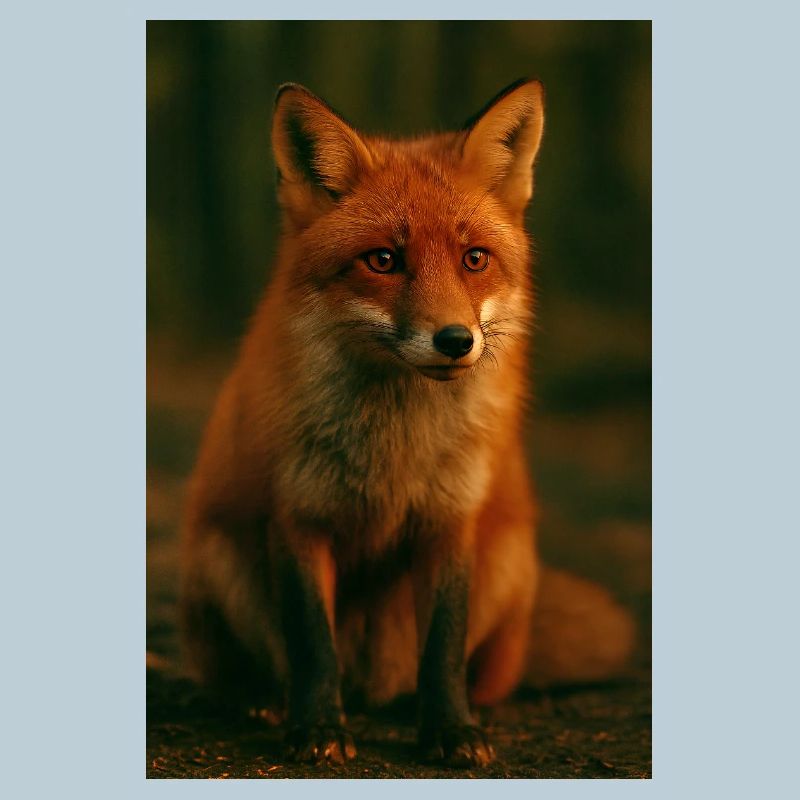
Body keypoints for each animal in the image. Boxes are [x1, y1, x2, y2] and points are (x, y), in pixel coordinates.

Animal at [179, 78, 635, 767]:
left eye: (474, 258)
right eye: (383, 260)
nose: (456, 340)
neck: (396, 447)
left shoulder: (450, 520)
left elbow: (443, 645)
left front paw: (451, 731)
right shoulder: (298, 517)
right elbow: (312, 643)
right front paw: (317, 728)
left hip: (508, 561)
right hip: (218, 556)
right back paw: (260, 701)